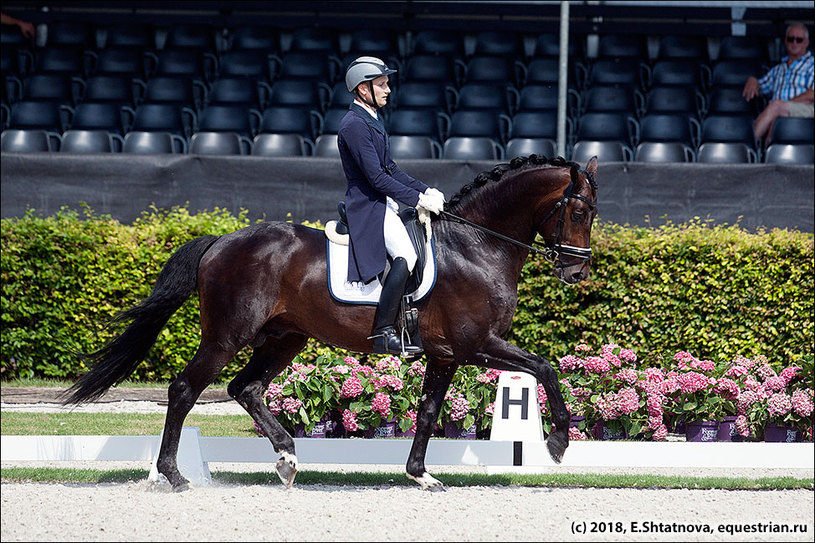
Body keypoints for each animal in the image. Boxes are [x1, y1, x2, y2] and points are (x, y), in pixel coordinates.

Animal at [63, 154, 600, 492]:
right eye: (577, 211)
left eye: (593, 213)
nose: (576, 272)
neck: (476, 246)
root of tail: (221, 241)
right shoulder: (477, 344)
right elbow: (546, 367)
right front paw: (558, 442)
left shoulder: (447, 355)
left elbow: (428, 413)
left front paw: (421, 475)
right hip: (227, 336)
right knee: (184, 389)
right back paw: (174, 475)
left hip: (285, 338)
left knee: (245, 388)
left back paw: (286, 458)